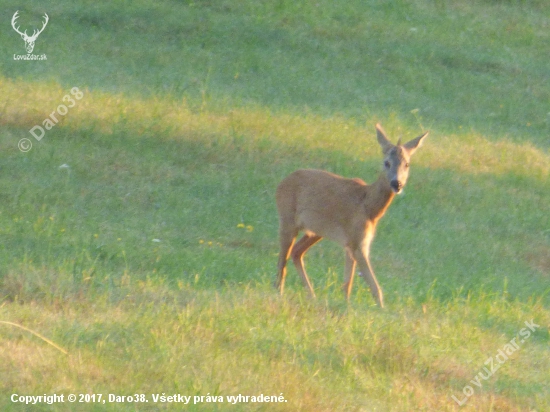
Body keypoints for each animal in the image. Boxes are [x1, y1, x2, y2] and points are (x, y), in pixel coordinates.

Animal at [278, 124, 430, 308]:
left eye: (407, 164)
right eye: (386, 162)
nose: (397, 183)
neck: (369, 207)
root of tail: (281, 183)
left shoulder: (351, 243)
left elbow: (347, 283)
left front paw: (346, 305)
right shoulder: (358, 243)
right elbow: (375, 287)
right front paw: (382, 310)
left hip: (315, 231)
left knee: (296, 252)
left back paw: (311, 295)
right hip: (287, 218)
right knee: (282, 260)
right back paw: (279, 293)